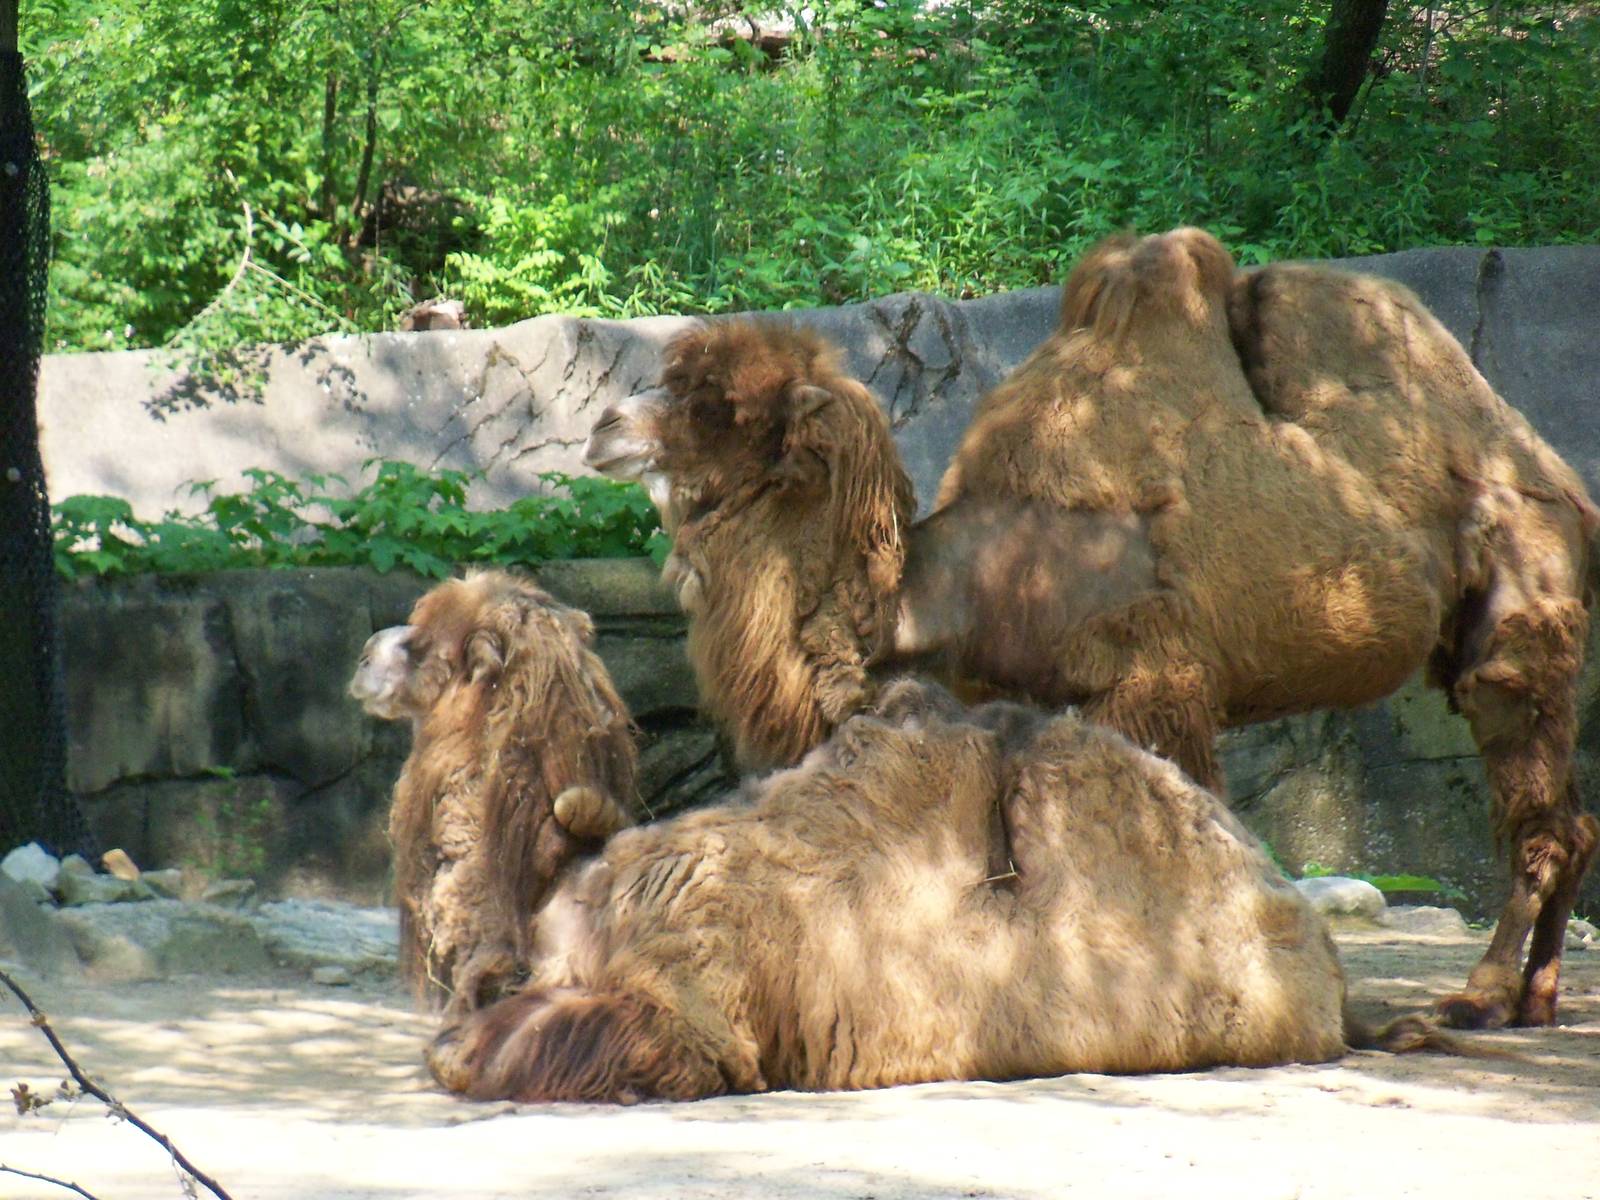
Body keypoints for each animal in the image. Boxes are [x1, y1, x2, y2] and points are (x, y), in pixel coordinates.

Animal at [581, 228, 1599, 1030]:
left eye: (721, 409)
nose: (601, 427)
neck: (980, 574)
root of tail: (1556, 477)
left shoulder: (1158, 684)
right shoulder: (1029, 701)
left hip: (1521, 615)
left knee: (1537, 807)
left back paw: (1478, 998)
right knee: (1574, 822)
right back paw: (1535, 1001)